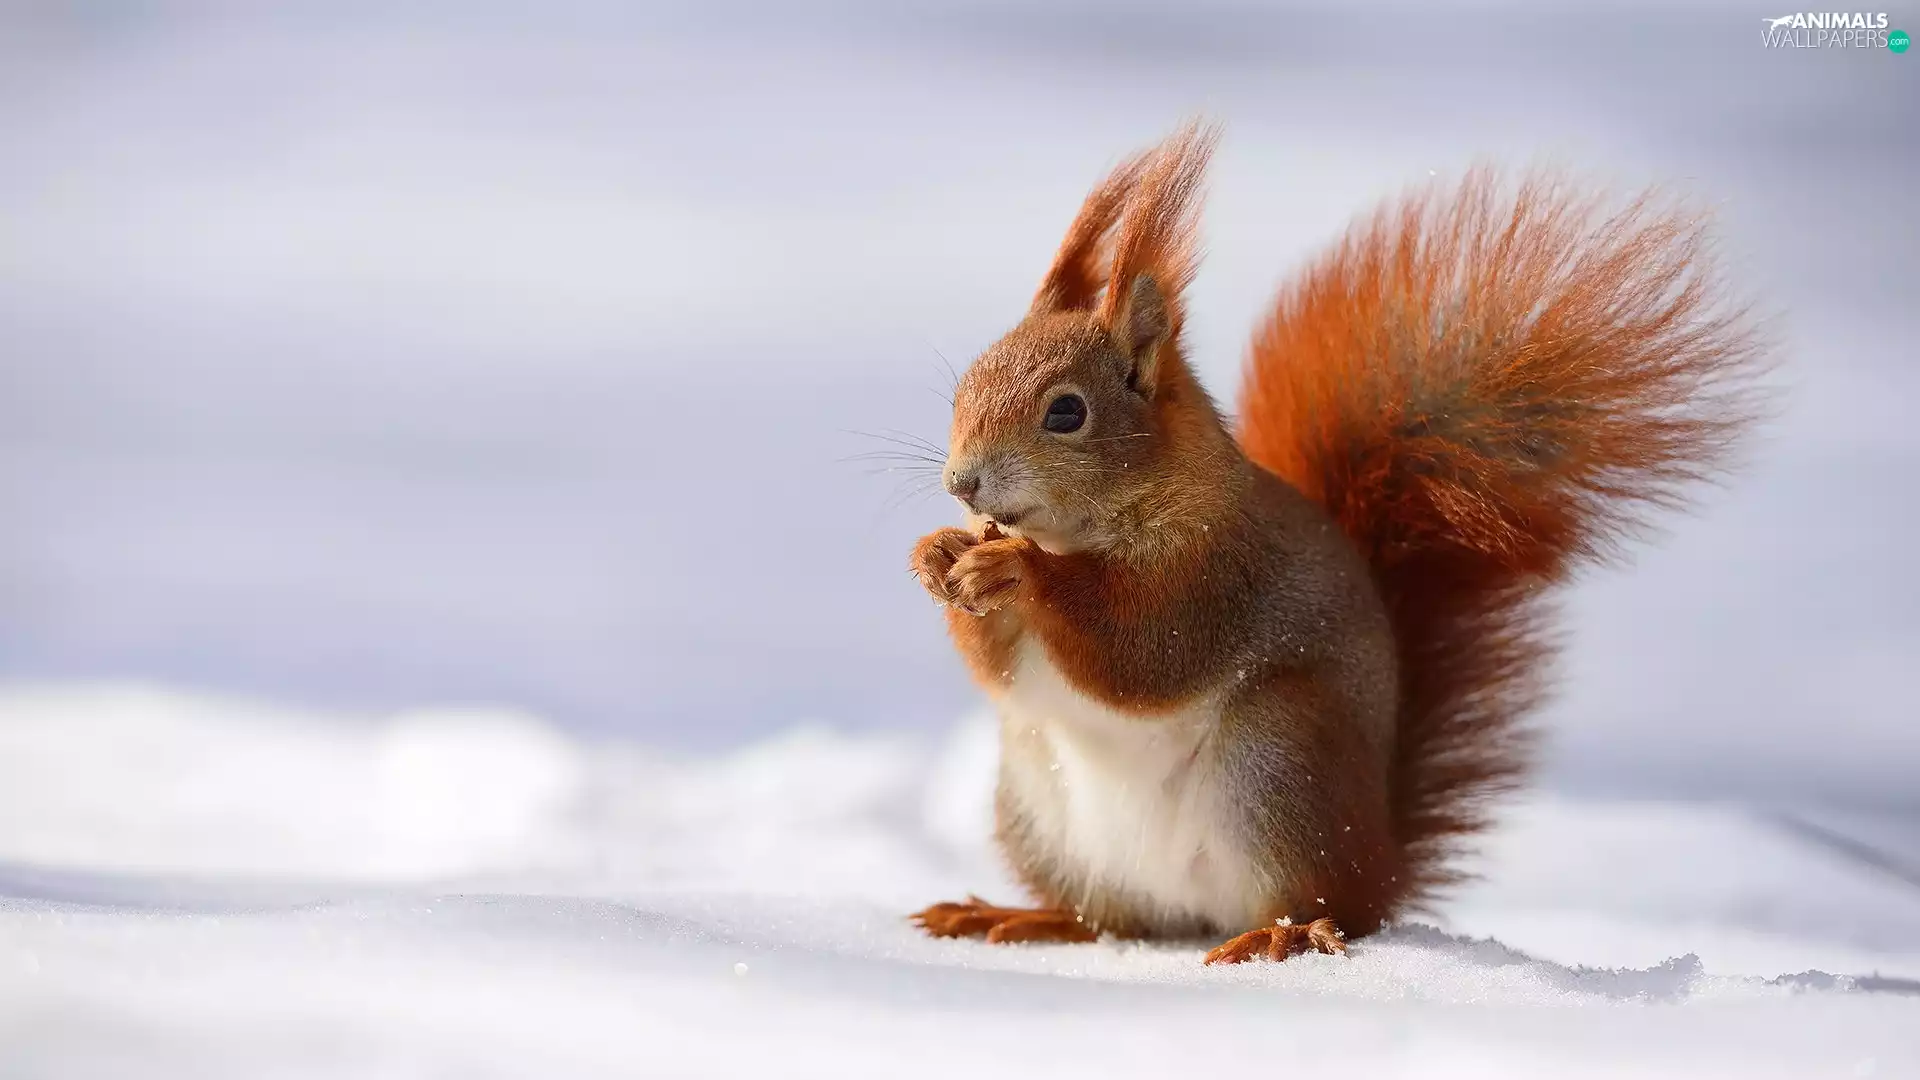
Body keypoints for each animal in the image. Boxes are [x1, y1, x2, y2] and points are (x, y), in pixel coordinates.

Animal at [905, 121, 1768, 964]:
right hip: (1037, 804)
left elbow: (1142, 652)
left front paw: (1017, 570)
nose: (961, 483)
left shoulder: (1217, 573)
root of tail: (1380, 857)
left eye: (1066, 412)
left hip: (1282, 762)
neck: (1080, 532)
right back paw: (1024, 918)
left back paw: (1281, 932)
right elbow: (1002, 672)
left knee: (1328, 908)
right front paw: (940, 555)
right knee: (1113, 921)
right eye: (967, 384)